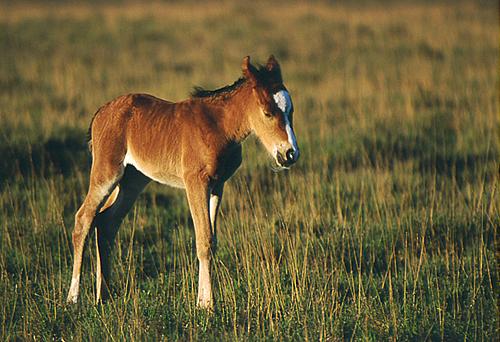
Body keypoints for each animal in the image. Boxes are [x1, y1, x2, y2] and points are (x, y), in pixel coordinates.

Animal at [66, 54, 300, 308]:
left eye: (291, 111)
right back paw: (73, 297)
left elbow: (212, 241)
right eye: (267, 112)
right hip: (107, 173)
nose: (290, 154)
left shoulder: (217, 185)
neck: (220, 126)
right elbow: (203, 240)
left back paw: (104, 294)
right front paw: (207, 304)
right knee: (84, 219)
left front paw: (202, 298)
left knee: (106, 221)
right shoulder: (195, 182)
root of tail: (100, 112)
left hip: (133, 180)